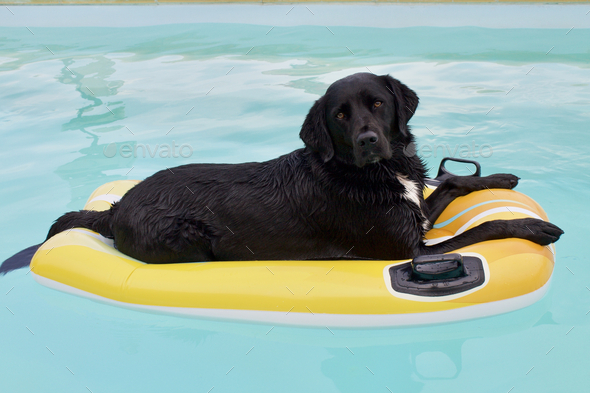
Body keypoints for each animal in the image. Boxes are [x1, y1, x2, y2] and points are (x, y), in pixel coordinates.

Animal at [45, 73, 564, 264]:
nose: (368, 141)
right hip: (188, 237)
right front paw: (533, 227)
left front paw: (498, 178)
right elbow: (487, 227)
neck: (372, 172)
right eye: (340, 115)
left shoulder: (416, 211)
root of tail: (113, 210)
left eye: (377, 104)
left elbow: (451, 182)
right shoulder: (407, 249)